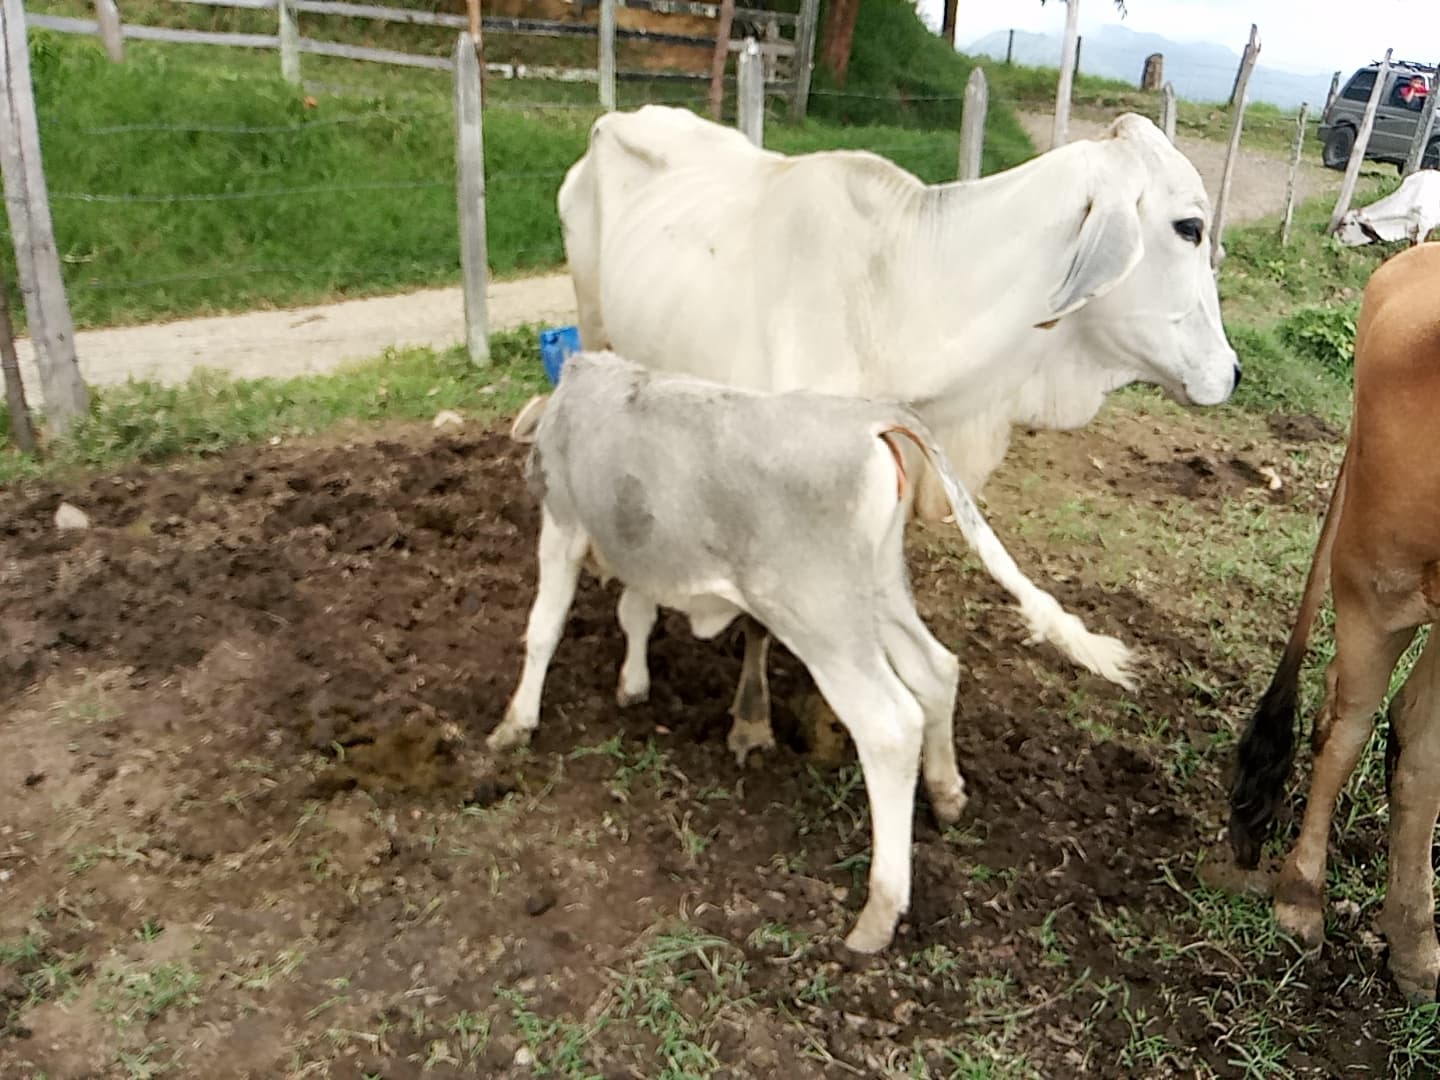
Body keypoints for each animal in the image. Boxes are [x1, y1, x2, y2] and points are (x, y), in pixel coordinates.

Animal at [491, 350, 1136, 953]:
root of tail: (868, 417)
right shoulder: (643, 555)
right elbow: (636, 612)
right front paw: (632, 683)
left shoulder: (562, 523)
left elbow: (544, 626)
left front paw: (516, 723)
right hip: (877, 591)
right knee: (936, 670)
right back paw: (947, 793)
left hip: (821, 618)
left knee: (889, 725)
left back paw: (880, 909)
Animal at [556, 105, 1238, 762]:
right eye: (1190, 227)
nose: (1231, 372)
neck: (897, 302)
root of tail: (619, 119)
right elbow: (761, 624)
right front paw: (752, 722)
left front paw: (826, 730)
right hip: (594, 324)